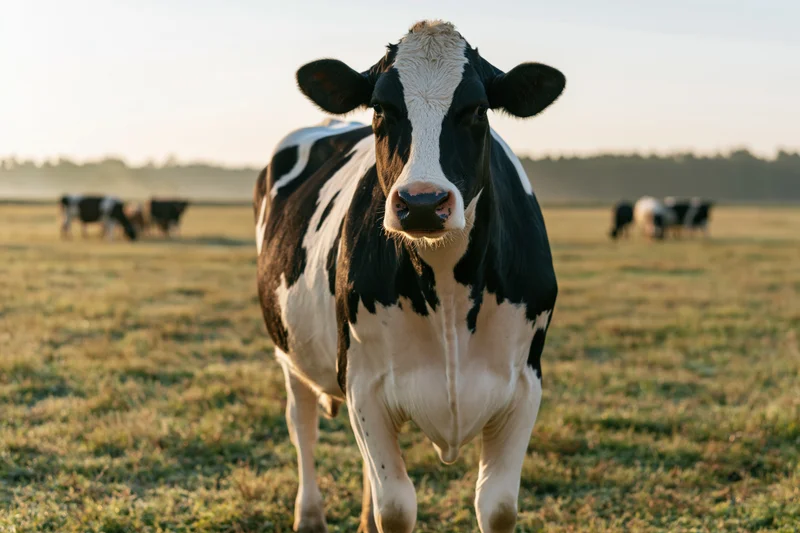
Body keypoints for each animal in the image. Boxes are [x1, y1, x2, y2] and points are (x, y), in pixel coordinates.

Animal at [254, 20, 565, 533]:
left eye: (477, 109)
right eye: (381, 107)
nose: (422, 202)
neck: (447, 286)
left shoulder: (524, 384)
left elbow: (497, 507)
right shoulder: (363, 384)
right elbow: (396, 508)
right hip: (289, 351)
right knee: (302, 426)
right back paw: (309, 516)